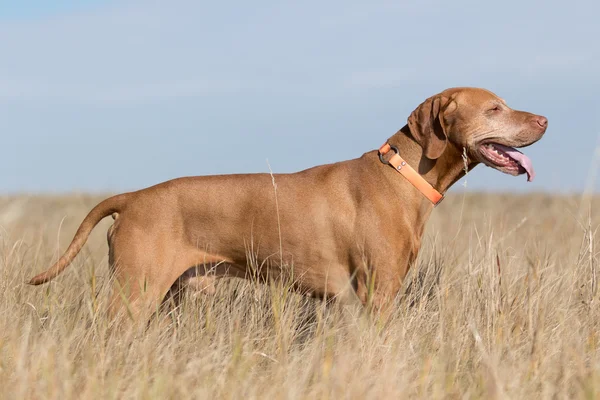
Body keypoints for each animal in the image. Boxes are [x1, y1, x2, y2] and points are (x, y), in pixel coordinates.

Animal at [28, 86, 548, 322]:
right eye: (495, 108)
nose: (544, 119)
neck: (405, 174)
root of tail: (132, 198)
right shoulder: (377, 295)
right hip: (133, 297)